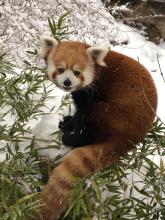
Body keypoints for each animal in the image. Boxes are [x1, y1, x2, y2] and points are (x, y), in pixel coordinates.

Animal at [34, 36, 157, 220]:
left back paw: (71, 139)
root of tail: (130, 137)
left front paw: (70, 128)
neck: (99, 70)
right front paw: (67, 122)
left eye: (77, 72)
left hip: (110, 113)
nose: (67, 82)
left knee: (90, 125)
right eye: (61, 69)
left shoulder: (92, 92)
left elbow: (81, 114)